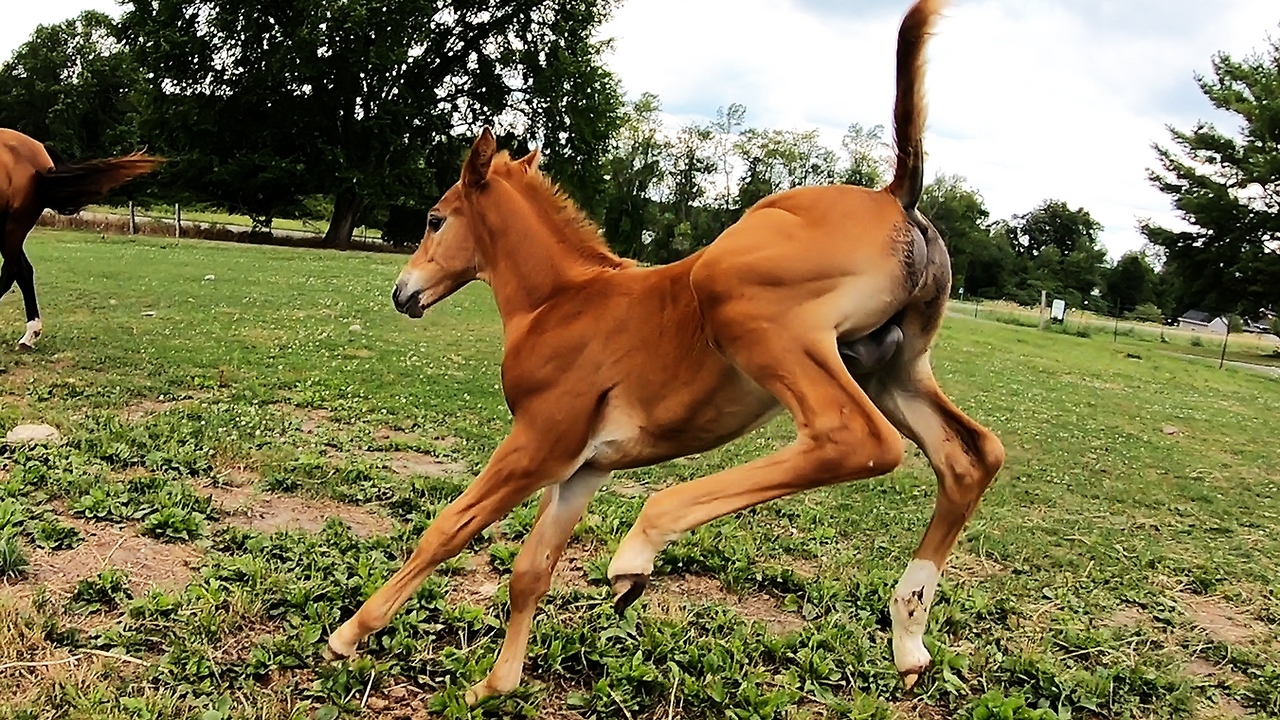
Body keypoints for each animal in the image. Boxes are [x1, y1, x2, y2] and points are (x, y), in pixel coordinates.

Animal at [325, 0, 1003, 696]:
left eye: (435, 219)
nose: (404, 292)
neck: (560, 302)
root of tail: (895, 196)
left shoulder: (538, 444)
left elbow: (446, 530)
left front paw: (349, 636)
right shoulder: (583, 467)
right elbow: (531, 570)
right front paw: (496, 684)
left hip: (762, 321)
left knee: (856, 439)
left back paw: (639, 548)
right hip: (894, 367)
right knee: (971, 455)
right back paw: (909, 637)